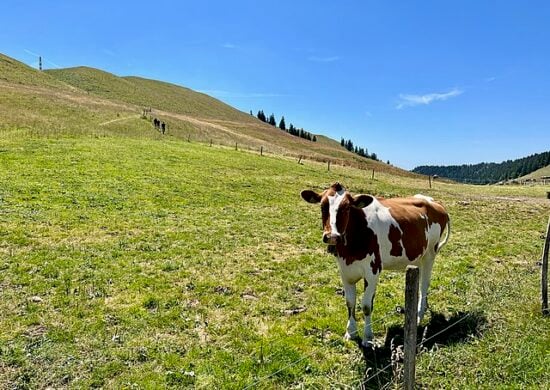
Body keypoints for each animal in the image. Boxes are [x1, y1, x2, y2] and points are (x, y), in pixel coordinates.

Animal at [302, 183, 452, 348]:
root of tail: (435, 203)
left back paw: (419, 316)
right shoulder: (345, 271)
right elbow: (350, 302)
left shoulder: (373, 271)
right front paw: (351, 332)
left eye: (347, 208)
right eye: (323, 206)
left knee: (424, 285)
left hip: (430, 254)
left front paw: (368, 337)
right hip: (417, 256)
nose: (332, 236)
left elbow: (366, 305)